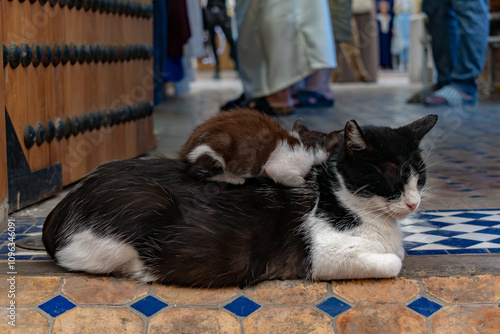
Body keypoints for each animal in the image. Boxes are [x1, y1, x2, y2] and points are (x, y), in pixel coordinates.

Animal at [180, 108, 340, 187]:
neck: (304, 143)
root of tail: (185, 151)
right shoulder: (279, 166)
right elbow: (287, 177)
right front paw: (301, 180)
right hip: (221, 144)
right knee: (194, 171)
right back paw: (232, 177)